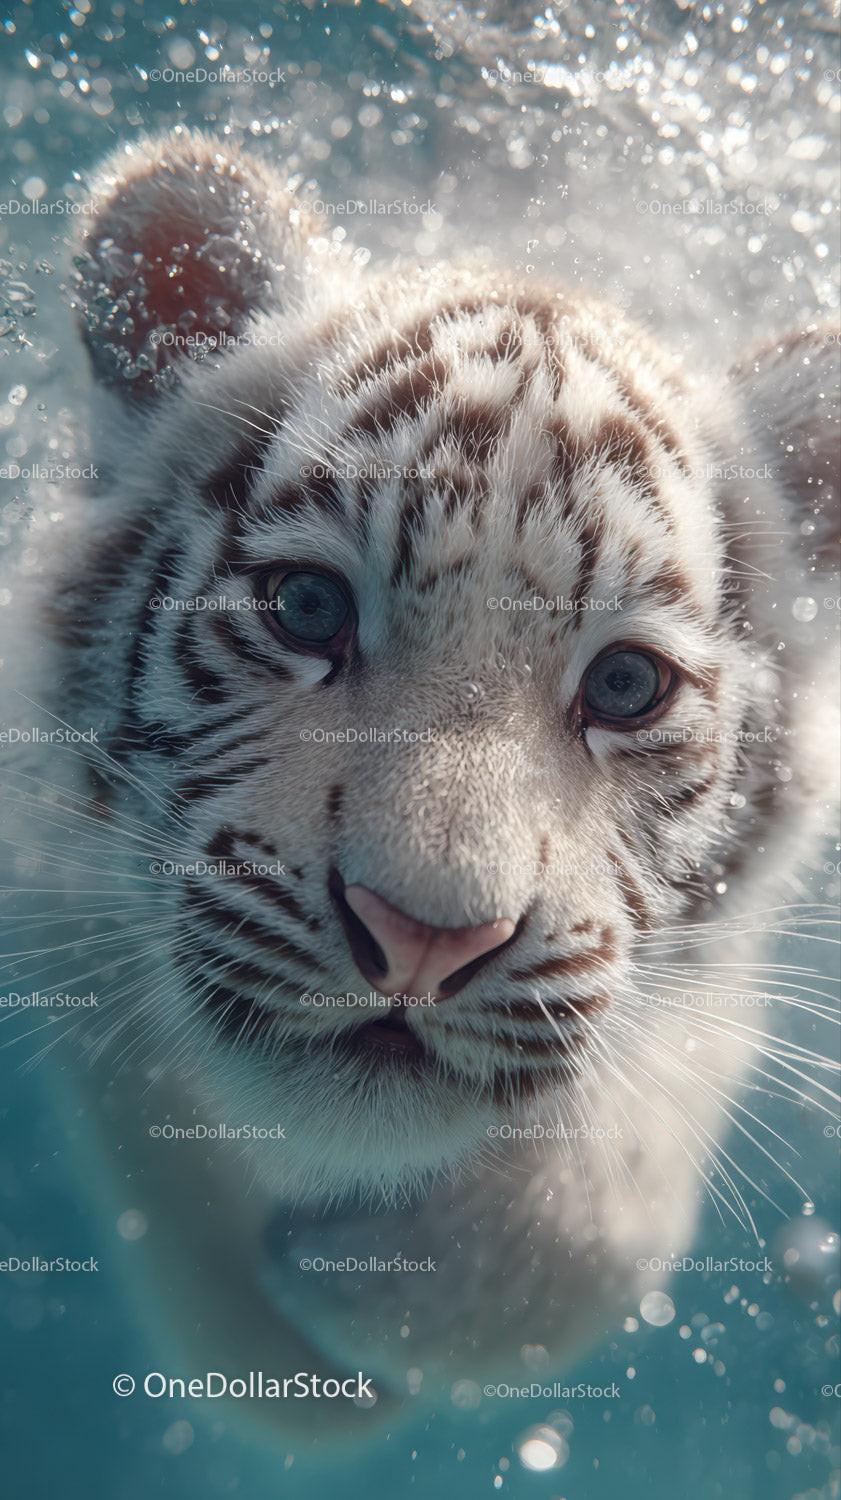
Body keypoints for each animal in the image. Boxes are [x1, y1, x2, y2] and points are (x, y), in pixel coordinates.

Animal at [4, 128, 838, 1448]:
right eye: (304, 608)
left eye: (624, 685)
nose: (423, 939)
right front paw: (290, 1347)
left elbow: (606, 1213)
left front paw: (392, 1292)